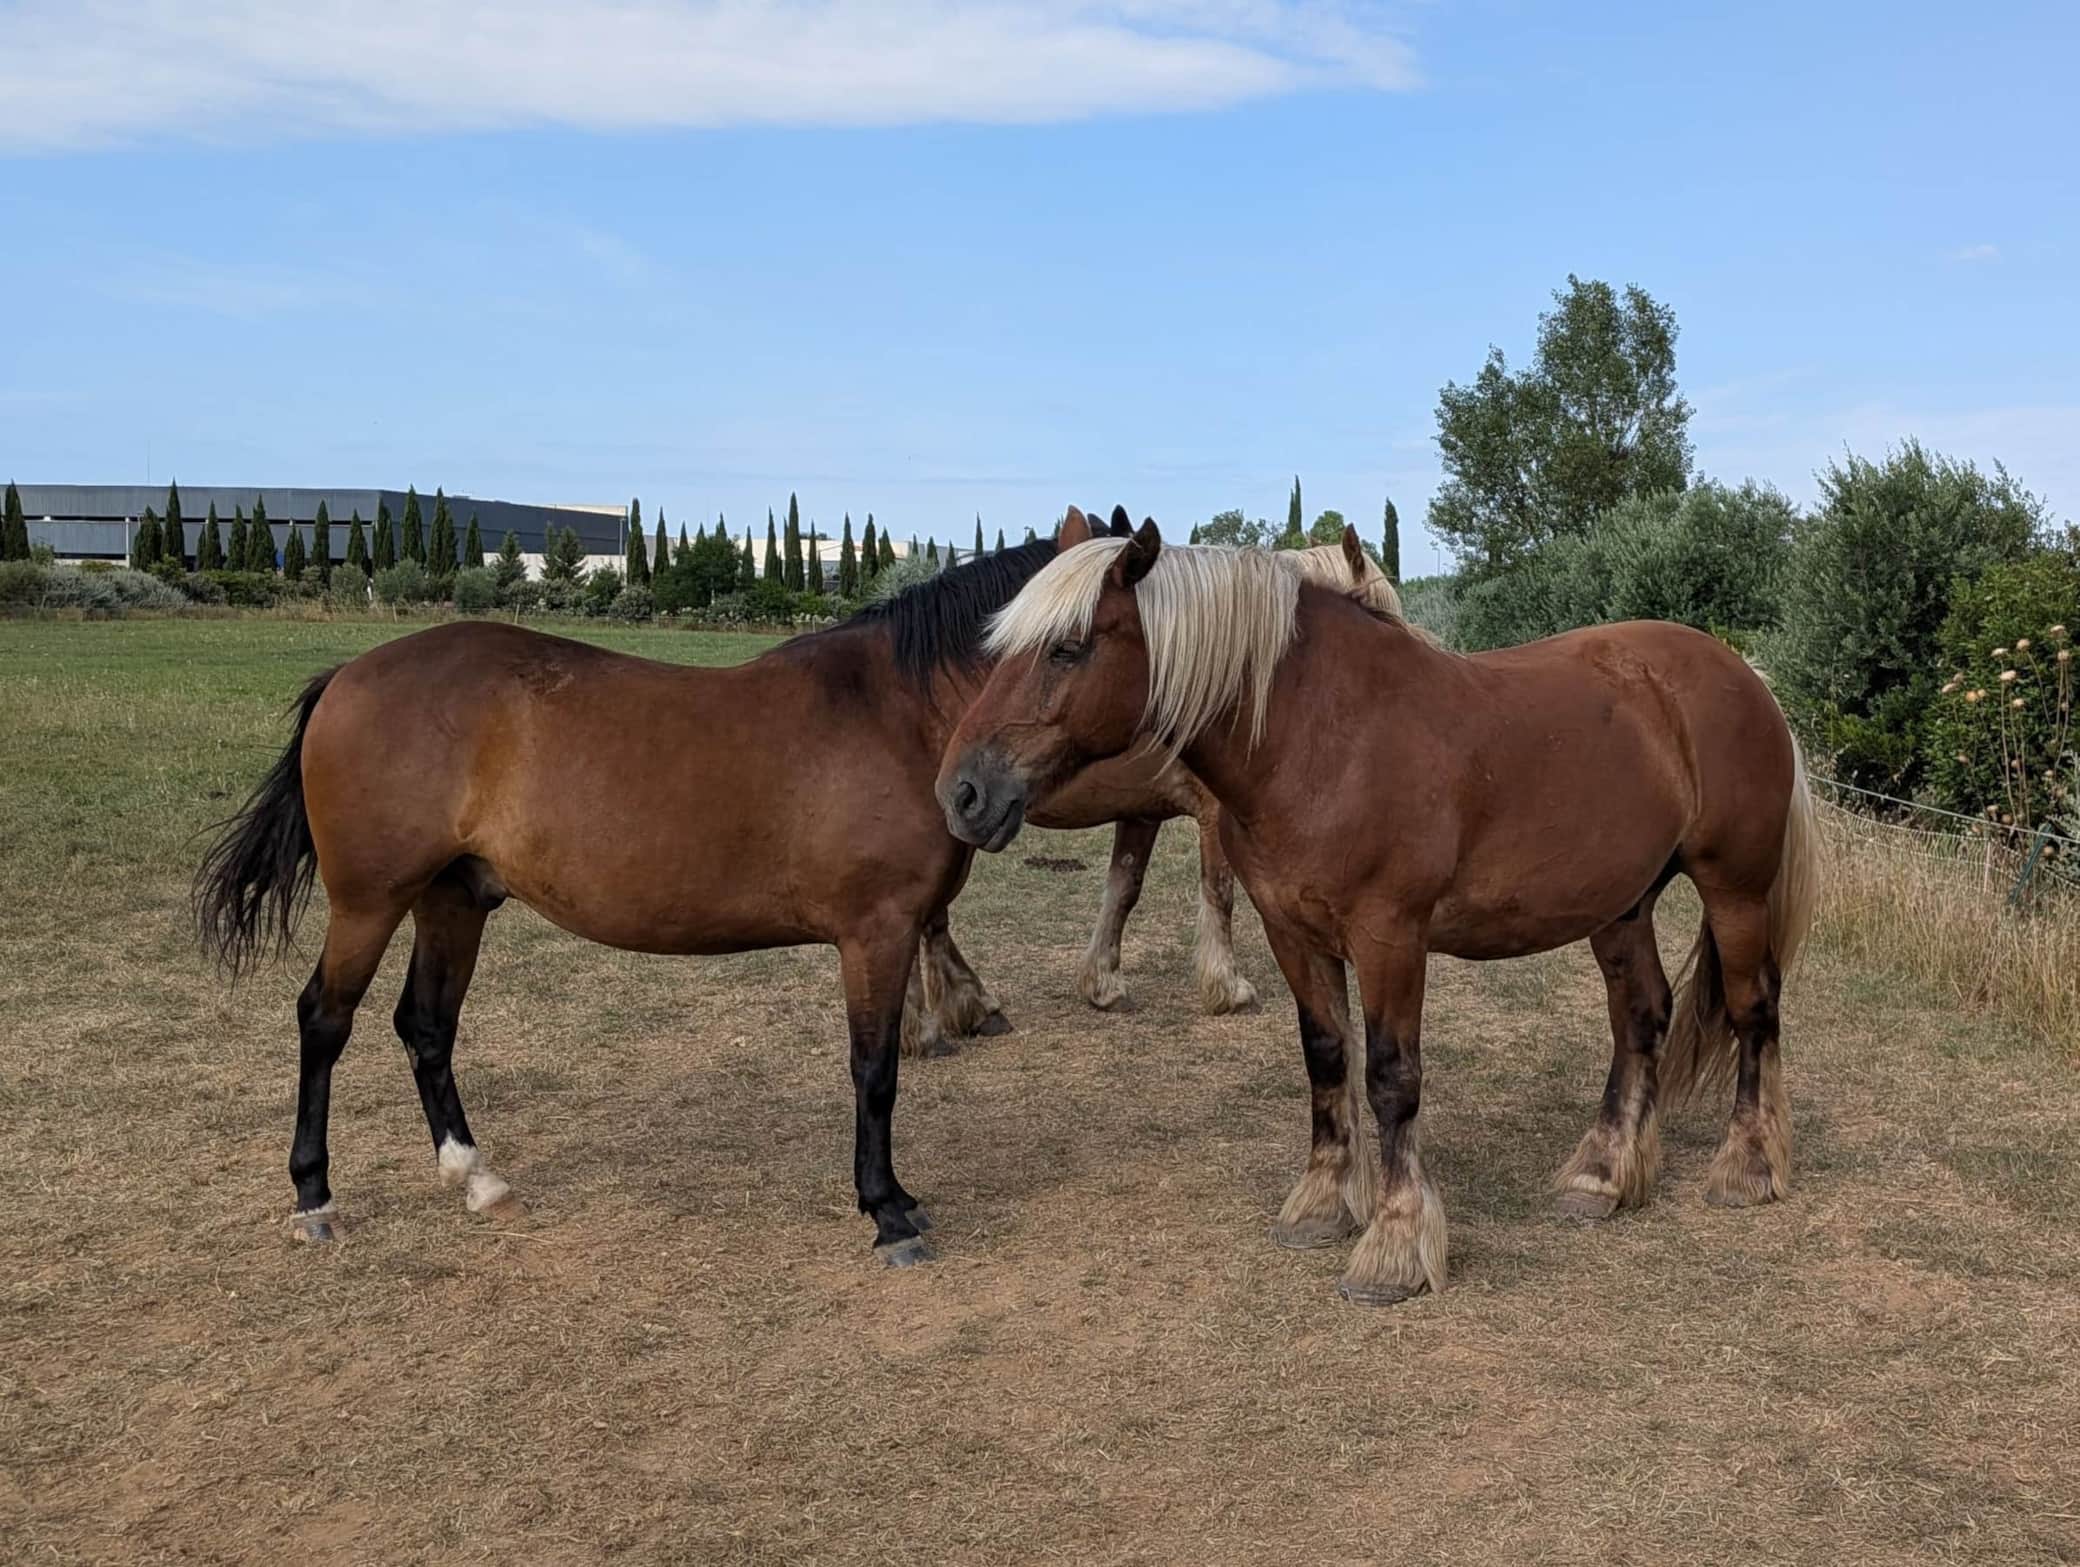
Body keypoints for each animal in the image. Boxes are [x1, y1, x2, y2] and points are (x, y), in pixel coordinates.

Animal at [193, 510, 1387, 1264]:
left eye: (1066, 648)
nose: (978, 791)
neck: (898, 710)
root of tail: (351, 675)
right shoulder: (875, 931)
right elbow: (875, 1072)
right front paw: (887, 1209)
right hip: (370, 901)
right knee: (325, 1021)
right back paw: (314, 1198)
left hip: (454, 900)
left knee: (424, 1027)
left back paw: (473, 1174)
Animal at [936, 515, 1819, 1305]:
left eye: (1067, 647)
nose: (962, 792)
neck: (1322, 735)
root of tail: (1741, 674)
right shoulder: (1293, 931)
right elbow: (1327, 1058)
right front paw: (1323, 1204)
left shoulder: (1390, 936)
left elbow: (1391, 1077)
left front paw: (1394, 1246)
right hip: (1621, 903)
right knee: (1642, 1015)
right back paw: (1602, 1177)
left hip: (1733, 888)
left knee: (1753, 1008)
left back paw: (1747, 1167)